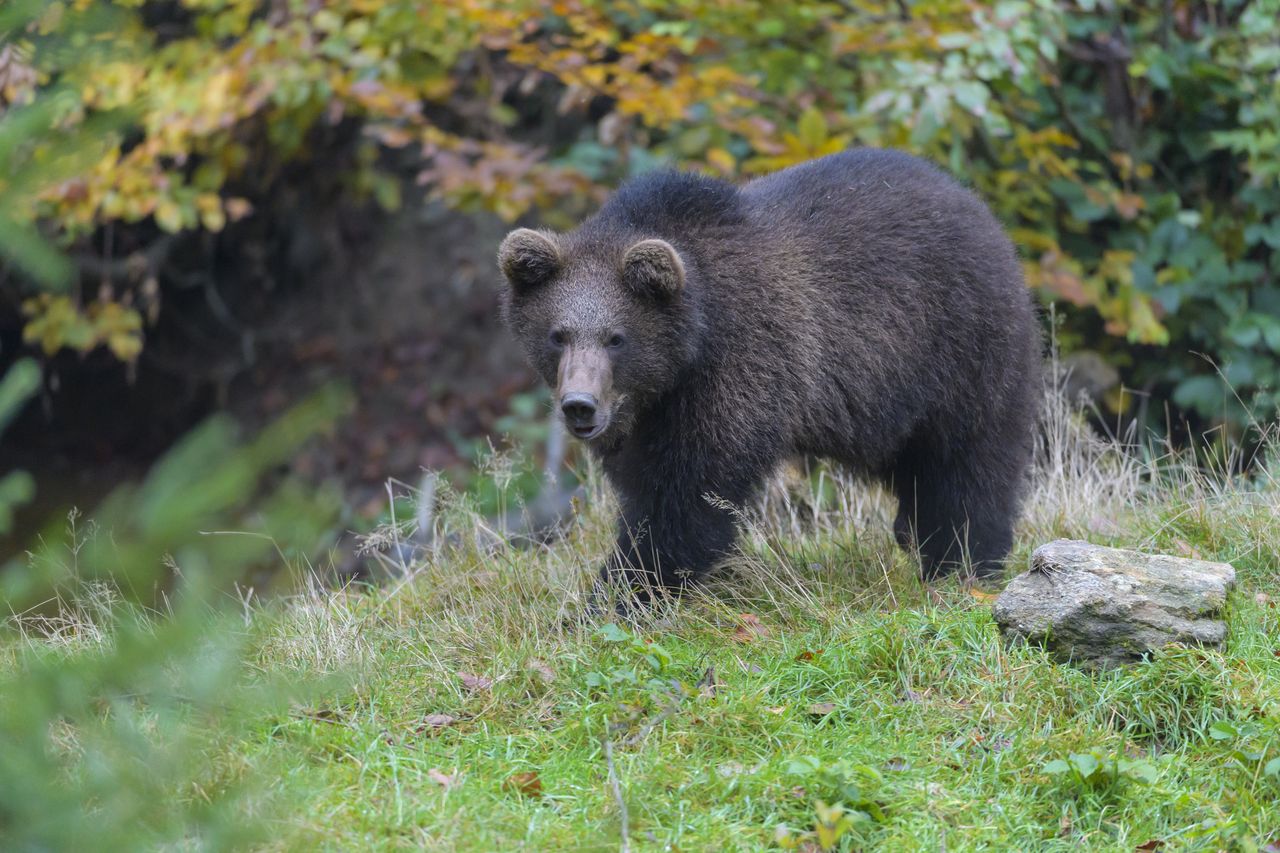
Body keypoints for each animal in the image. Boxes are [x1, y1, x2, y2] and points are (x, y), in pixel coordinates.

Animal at [496, 147, 1039, 604]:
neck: (686, 353)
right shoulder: (648, 416)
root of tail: (975, 205)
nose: (580, 405)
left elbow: (687, 499)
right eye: (558, 334)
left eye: (616, 337)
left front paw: (621, 593)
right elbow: (647, 482)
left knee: (968, 461)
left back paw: (964, 563)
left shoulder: (739, 368)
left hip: (958, 349)